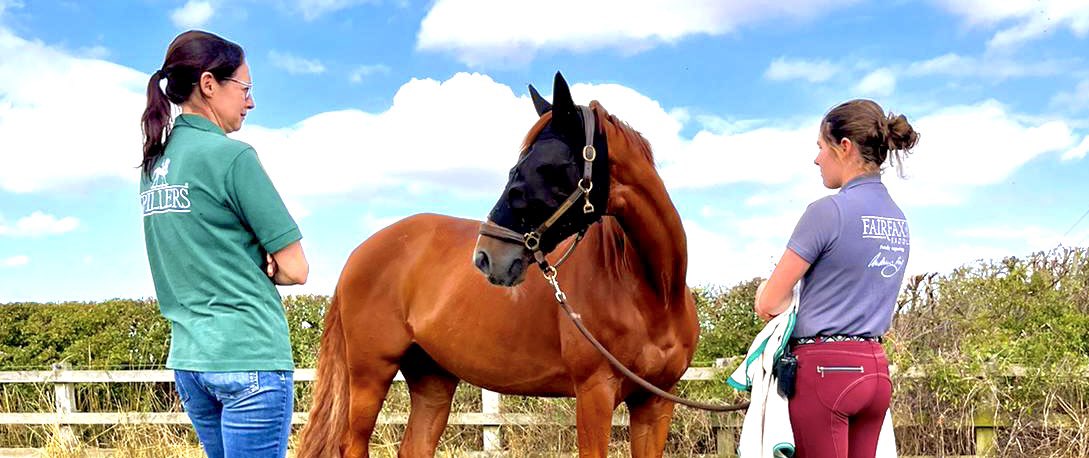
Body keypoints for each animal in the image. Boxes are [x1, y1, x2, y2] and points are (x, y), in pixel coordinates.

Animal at [297, 72, 699, 458]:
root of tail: (359, 253)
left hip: (432, 378)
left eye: (546, 167)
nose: (486, 256)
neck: (652, 292)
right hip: (370, 374)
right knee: (352, 445)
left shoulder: (655, 403)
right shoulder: (594, 392)